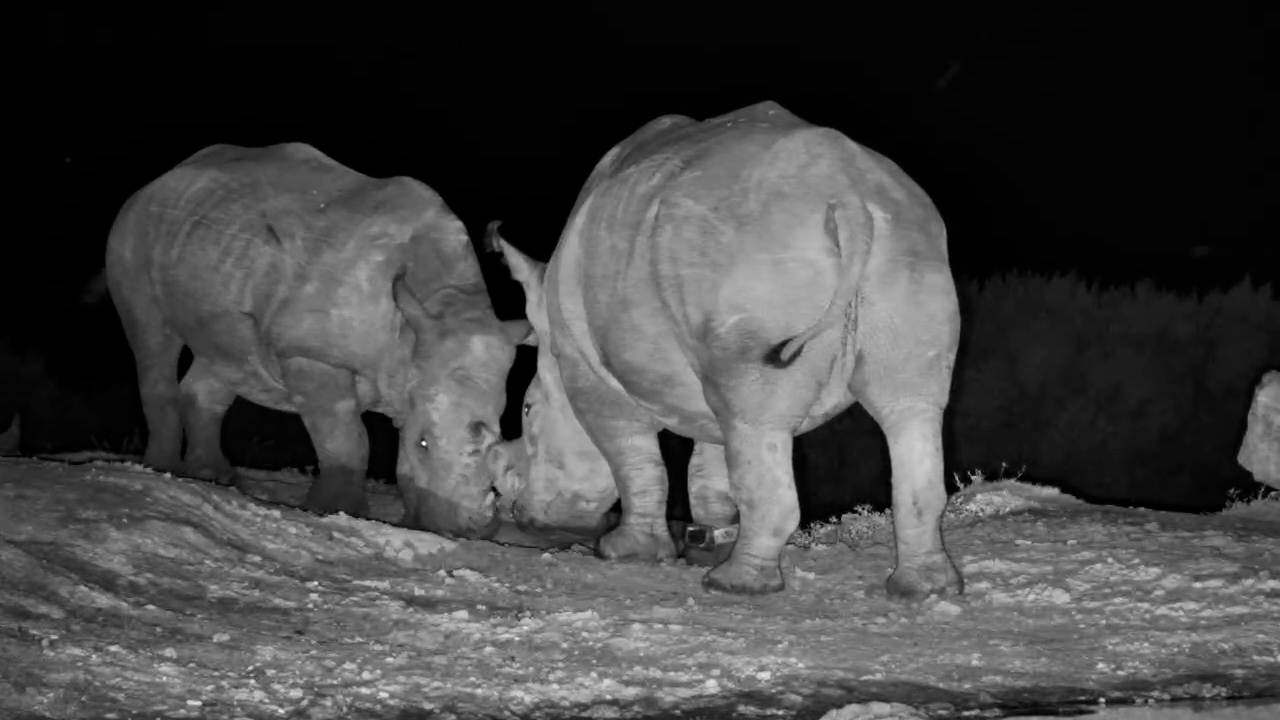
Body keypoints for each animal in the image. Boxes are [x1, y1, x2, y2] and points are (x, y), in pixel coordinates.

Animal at [103, 142, 530, 538]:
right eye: (423, 443)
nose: (469, 531)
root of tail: (160, 180)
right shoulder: (312, 356)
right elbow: (346, 436)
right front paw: (338, 511)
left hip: (222, 249)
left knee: (228, 355)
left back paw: (212, 477)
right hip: (134, 229)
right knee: (153, 338)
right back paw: (161, 469)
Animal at [486, 101, 963, 597]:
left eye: (527, 411)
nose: (519, 514)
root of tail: (846, 195)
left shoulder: (589, 373)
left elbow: (634, 458)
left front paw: (625, 551)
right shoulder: (695, 364)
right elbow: (710, 461)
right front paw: (706, 543)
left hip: (755, 256)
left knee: (757, 414)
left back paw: (735, 585)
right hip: (904, 244)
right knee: (909, 405)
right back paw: (925, 587)